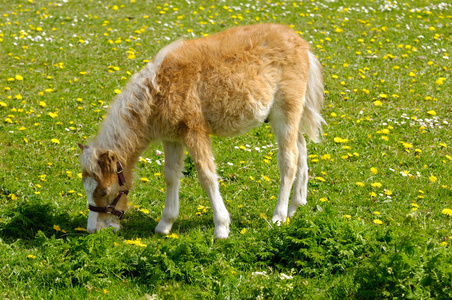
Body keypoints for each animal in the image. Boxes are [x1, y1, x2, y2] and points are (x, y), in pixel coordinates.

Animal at [78, 24, 324, 239]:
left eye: (104, 191)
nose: (93, 229)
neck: (157, 90)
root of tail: (302, 43)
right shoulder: (171, 137)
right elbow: (171, 175)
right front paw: (165, 224)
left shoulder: (194, 131)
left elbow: (206, 175)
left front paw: (222, 228)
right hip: (278, 116)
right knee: (301, 146)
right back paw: (296, 205)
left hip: (286, 111)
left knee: (288, 159)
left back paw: (279, 216)